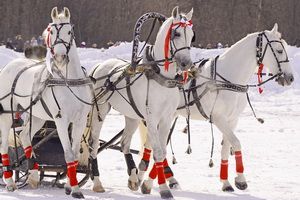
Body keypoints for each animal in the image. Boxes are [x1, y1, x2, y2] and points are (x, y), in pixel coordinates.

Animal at [0, 7, 92, 198]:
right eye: (51, 31)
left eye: (69, 31)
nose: (60, 57)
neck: (69, 80)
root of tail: (7, 67)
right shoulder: (61, 120)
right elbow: (68, 154)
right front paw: (75, 189)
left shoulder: (79, 120)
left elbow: (74, 153)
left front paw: (69, 185)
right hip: (6, 112)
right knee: (4, 143)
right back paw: (10, 181)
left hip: (38, 116)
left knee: (24, 136)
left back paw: (34, 175)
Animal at [88, 6, 195, 198]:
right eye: (176, 33)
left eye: (192, 35)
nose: (186, 63)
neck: (161, 76)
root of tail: (99, 66)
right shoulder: (151, 118)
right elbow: (158, 152)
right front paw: (164, 188)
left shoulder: (167, 118)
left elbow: (161, 151)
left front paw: (146, 184)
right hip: (100, 109)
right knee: (93, 144)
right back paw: (98, 182)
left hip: (132, 116)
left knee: (124, 143)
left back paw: (132, 177)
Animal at [138, 23, 292, 192]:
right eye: (279, 50)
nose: (290, 77)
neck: (228, 78)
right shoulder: (219, 118)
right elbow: (236, 143)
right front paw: (241, 179)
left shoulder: (232, 120)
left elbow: (226, 147)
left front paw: (227, 182)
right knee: (154, 145)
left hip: (168, 115)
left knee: (153, 144)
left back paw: (160, 178)